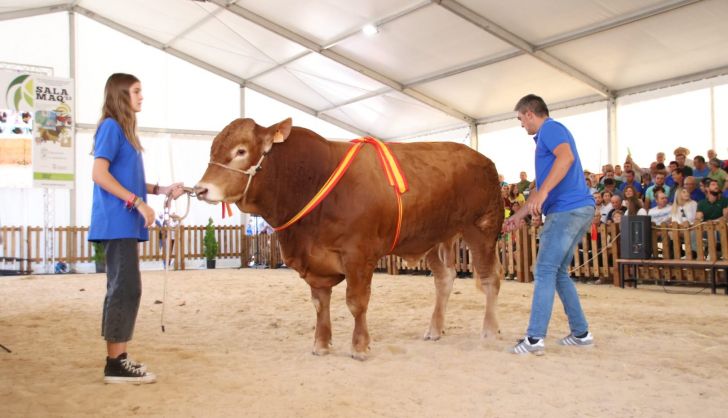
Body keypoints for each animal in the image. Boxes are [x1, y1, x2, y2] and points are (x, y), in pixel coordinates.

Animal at [196, 117, 506, 360]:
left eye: (240, 150)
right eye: (212, 149)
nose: (200, 189)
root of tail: (484, 160)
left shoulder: (358, 254)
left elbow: (356, 302)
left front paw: (360, 347)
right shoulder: (316, 261)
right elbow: (320, 303)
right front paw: (321, 344)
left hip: (482, 228)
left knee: (490, 278)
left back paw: (490, 330)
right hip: (437, 236)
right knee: (445, 278)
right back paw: (434, 329)